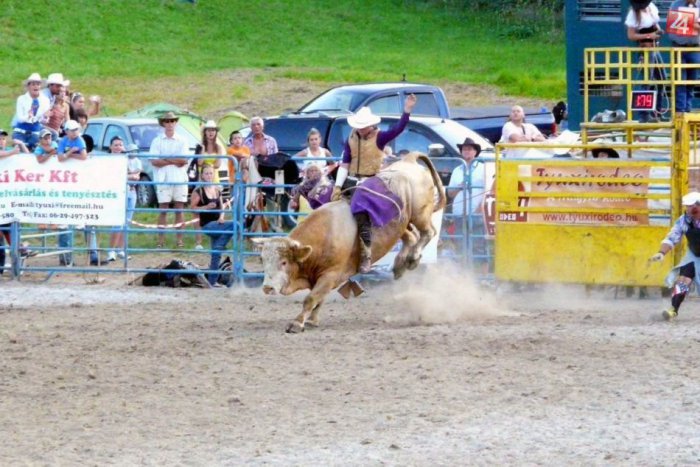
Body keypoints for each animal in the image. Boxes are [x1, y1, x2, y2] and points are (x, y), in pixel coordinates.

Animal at [254, 153, 446, 332]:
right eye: (263, 260)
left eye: (284, 262)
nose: (267, 287)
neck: (326, 233)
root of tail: (409, 160)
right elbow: (318, 299)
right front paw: (312, 320)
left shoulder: (330, 275)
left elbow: (311, 298)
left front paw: (297, 323)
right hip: (401, 224)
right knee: (411, 237)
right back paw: (400, 265)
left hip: (419, 214)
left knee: (428, 232)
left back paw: (412, 259)